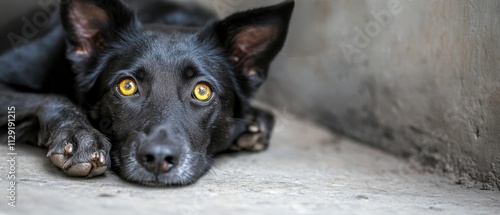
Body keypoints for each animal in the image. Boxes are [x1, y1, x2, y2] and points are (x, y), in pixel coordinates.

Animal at [0, 0, 292, 186]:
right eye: (127, 86)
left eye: (202, 91)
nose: (158, 159)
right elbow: (55, 98)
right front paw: (81, 136)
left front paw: (254, 122)